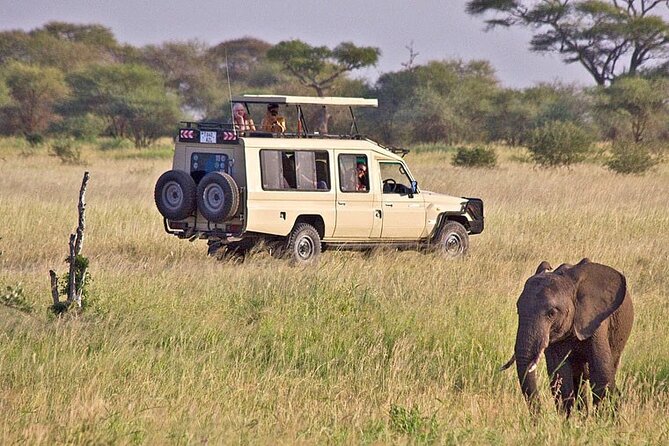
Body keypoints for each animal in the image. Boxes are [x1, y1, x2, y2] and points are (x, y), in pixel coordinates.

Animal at [501, 258, 634, 416]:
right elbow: (561, 376)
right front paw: (569, 421)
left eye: (551, 313)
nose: (538, 416)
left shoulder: (596, 322)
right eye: (518, 309)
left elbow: (601, 374)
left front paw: (605, 420)